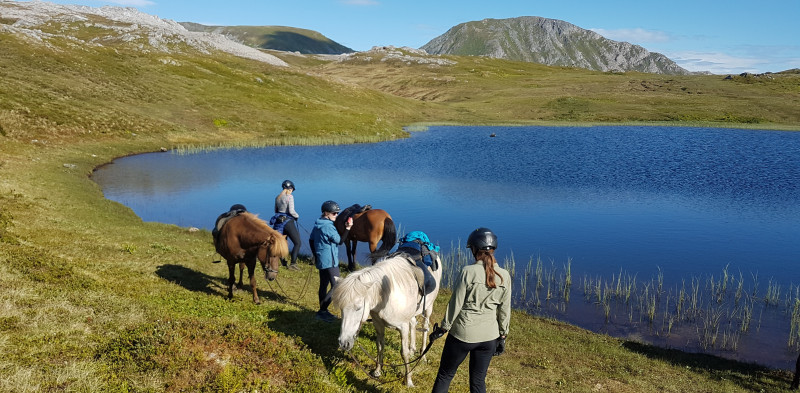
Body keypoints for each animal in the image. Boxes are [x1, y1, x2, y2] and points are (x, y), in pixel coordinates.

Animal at [332, 251, 444, 386]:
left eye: (358, 308)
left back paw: (422, 355)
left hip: (428, 308)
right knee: (413, 323)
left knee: (425, 328)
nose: (343, 343)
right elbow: (380, 346)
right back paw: (413, 349)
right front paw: (377, 371)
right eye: (341, 308)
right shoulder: (378, 324)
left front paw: (408, 380)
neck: (385, 296)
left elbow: (404, 353)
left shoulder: (403, 327)